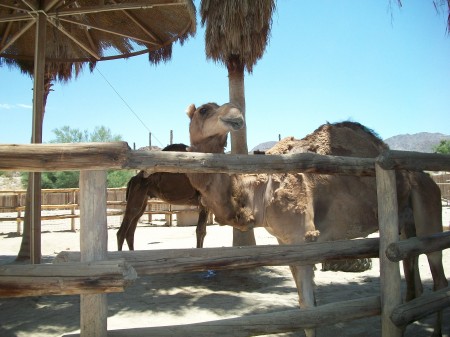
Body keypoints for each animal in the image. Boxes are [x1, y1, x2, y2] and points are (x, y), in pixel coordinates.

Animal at [185, 102, 446, 336]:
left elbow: (309, 312)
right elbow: (305, 307)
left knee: (438, 275)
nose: (237, 114)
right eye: (204, 110)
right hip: (404, 223)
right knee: (413, 276)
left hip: (428, 206)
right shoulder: (286, 243)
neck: (262, 189)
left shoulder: (303, 238)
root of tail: (429, 179)